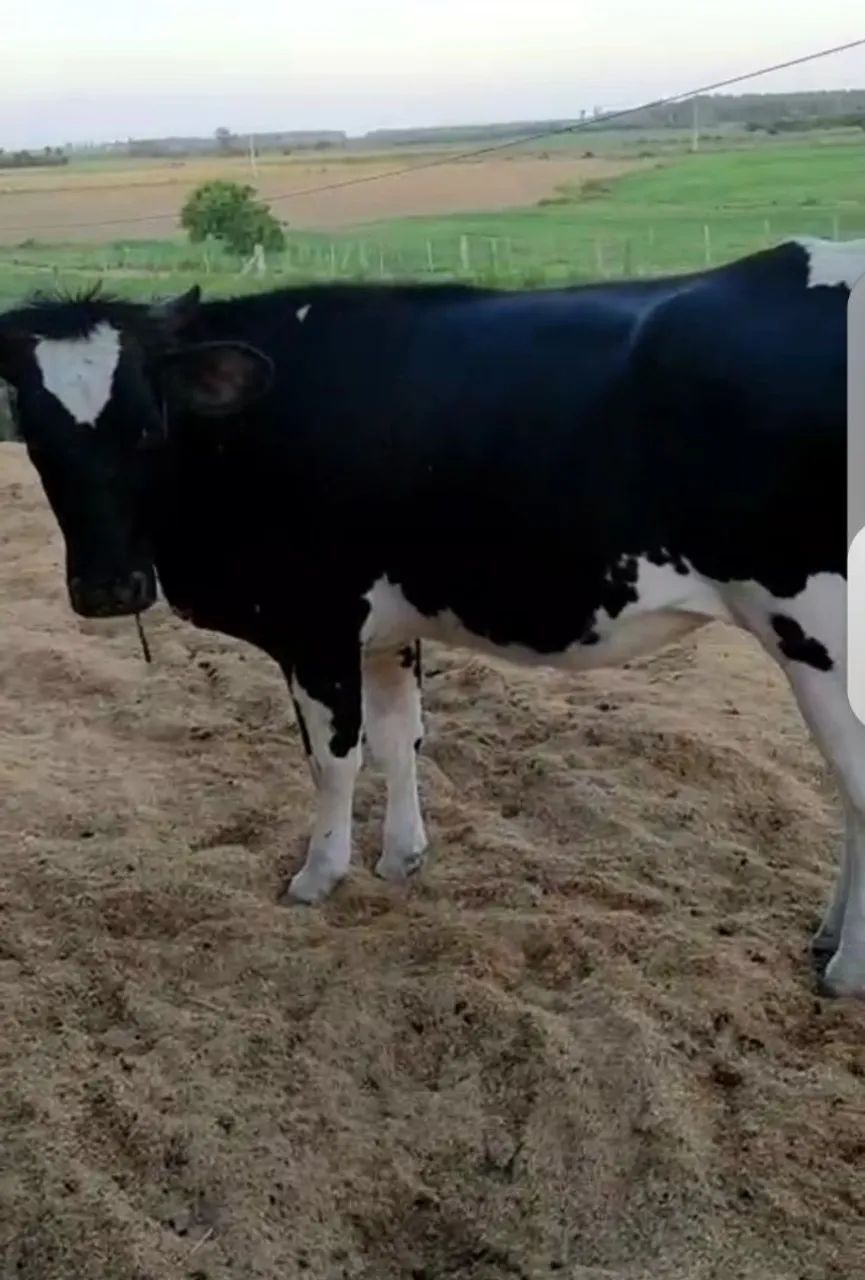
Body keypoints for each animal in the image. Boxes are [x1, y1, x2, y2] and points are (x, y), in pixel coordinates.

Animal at [0, 236, 862, 995]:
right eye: (35, 433)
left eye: (147, 426)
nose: (109, 589)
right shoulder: (385, 627)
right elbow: (397, 738)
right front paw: (401, 859)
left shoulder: (314, 623)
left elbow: (334, 758)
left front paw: (318, 875)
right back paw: (827, 939)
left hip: (810, 626)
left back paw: (846, 969)